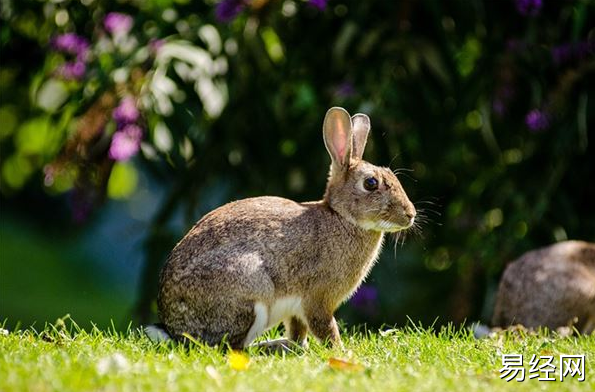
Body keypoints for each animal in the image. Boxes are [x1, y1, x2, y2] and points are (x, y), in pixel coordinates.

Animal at [151, 105, 416, 348]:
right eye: (370, 183)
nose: (410, 214)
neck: (341, 217)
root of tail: (174, 328)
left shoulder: (298, 309)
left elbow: (298, 330)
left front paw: (299, 347)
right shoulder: (317, 299)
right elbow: (325, 327)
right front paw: (341, 352)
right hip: (251, 289)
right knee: (230, 347)